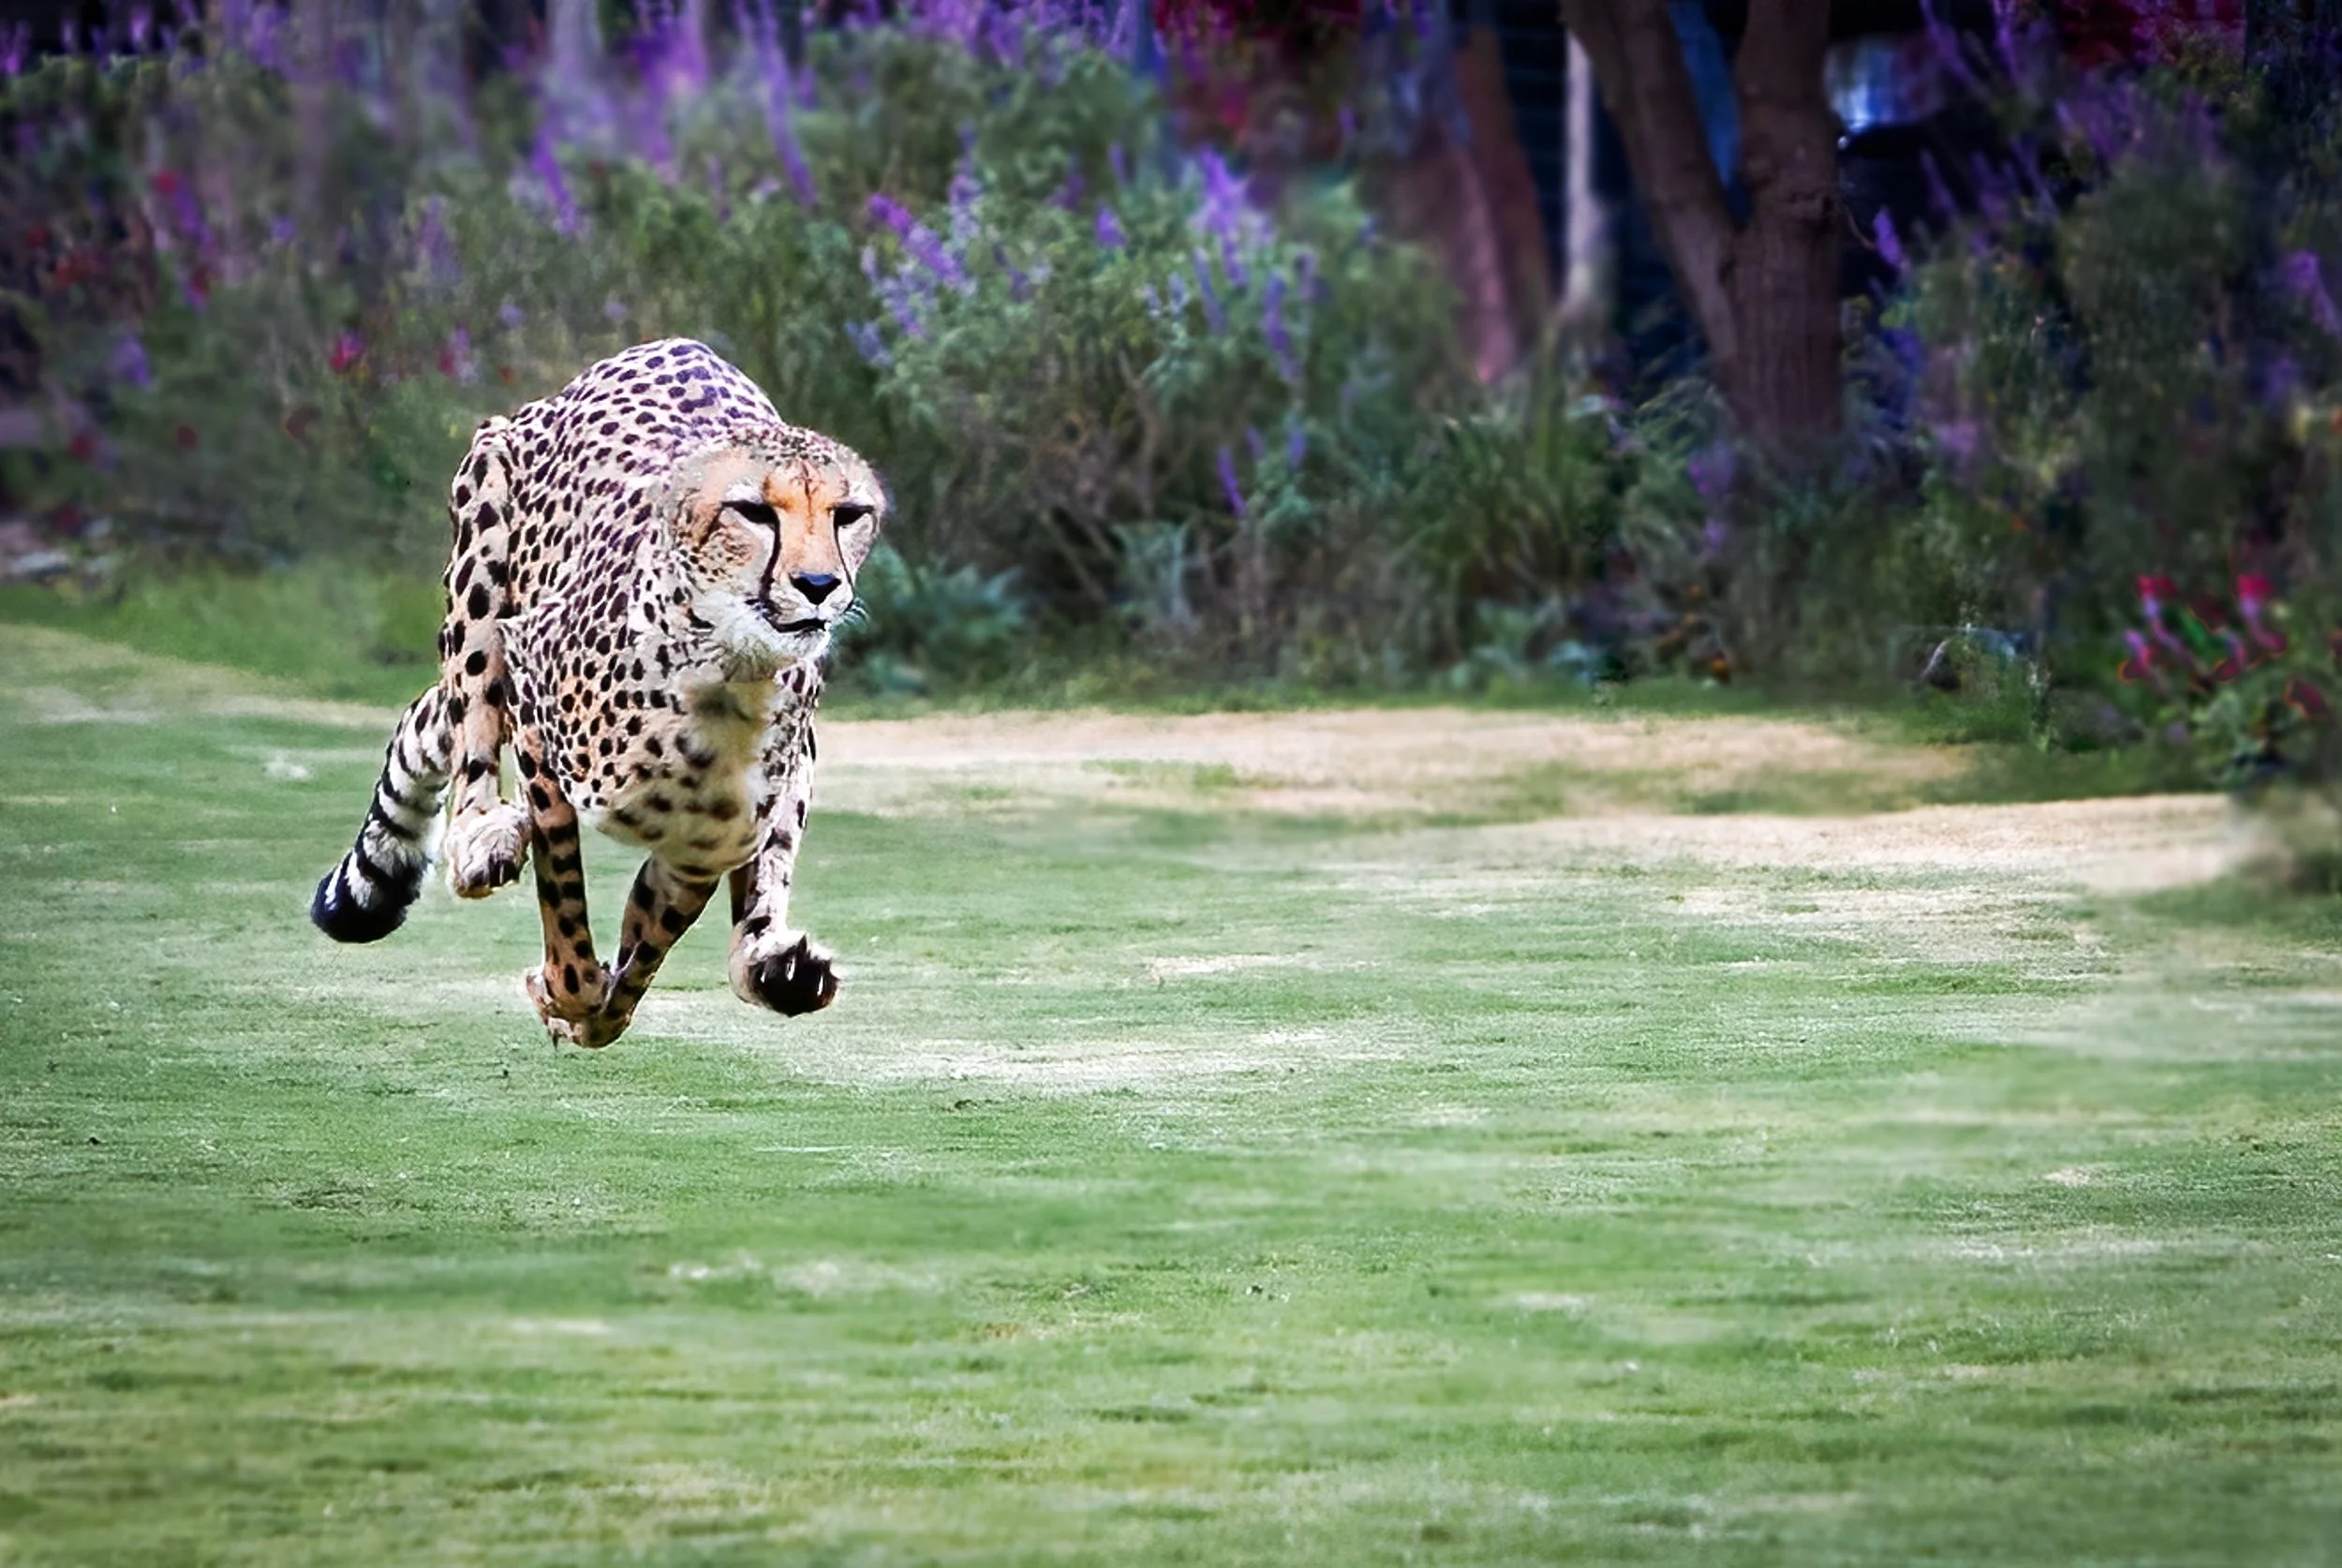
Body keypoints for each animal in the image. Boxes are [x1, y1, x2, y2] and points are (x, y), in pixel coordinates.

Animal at [310, 337, 883, 1049]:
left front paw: (599, 1009)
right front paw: (567, 994)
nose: (818, 584)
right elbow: (564, 894)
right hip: (486, 523)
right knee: (467, 718)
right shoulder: (533, 702)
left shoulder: (708, 842)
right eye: (752, 511)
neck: (722, 673)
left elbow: (652, 933)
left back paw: (774, 967)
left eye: (848, 515)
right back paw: (482, 840)